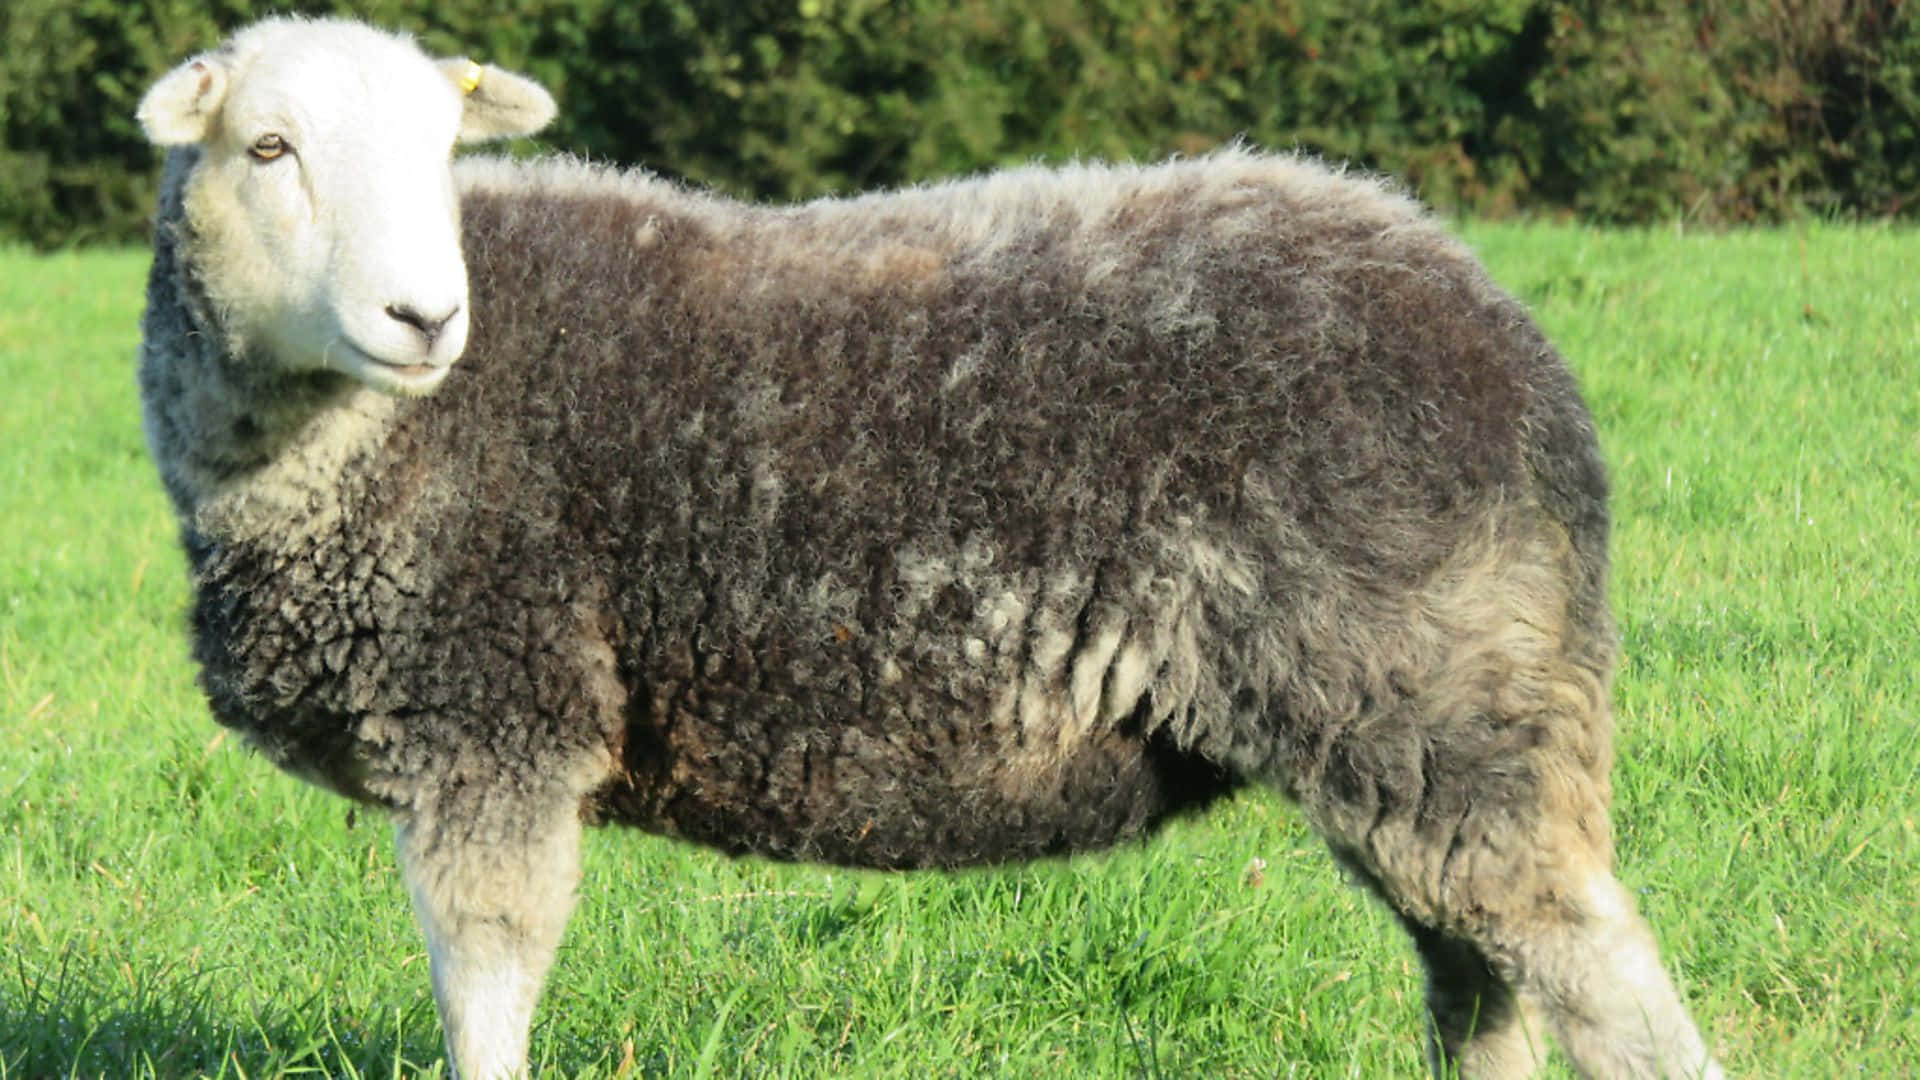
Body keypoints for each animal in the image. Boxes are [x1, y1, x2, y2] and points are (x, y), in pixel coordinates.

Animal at [135, 16, 1723, 1080]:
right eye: (268, 149)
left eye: (443, 156)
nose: (423, 316)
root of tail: (1513, 344)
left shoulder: (492, 720)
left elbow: (486, 1000)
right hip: (1424, 728)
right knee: (1482, 988)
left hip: (1447, 701)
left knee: (1602, 985)